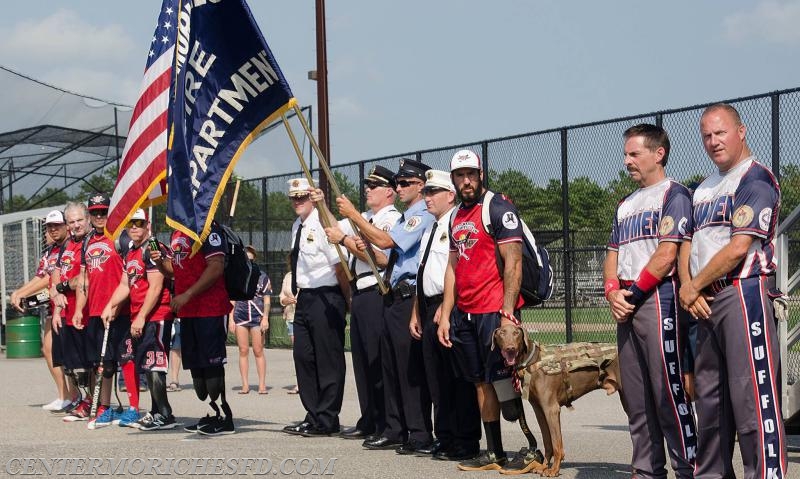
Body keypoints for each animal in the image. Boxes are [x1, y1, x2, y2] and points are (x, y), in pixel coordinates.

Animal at [490, 324, 620, 478]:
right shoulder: (539, 410)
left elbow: (556, 443)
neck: (532, 361)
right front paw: (544, 466)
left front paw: (554, 470)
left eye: (516, 333)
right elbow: (547, 441)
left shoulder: (551, 409)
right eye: (502, 333)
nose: (510, 348)